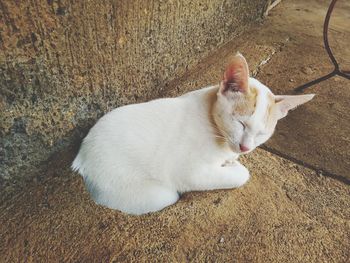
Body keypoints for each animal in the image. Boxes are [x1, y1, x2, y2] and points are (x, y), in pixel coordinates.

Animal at [71, 54, 314, 217]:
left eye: (262, 133)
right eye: (241, 123)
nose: (245, 148)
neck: (215, 127)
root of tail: (82, 156)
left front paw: (231, 160)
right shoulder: (189, 173)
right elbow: (241, 174)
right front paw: (235, 167)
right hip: (145, 191)